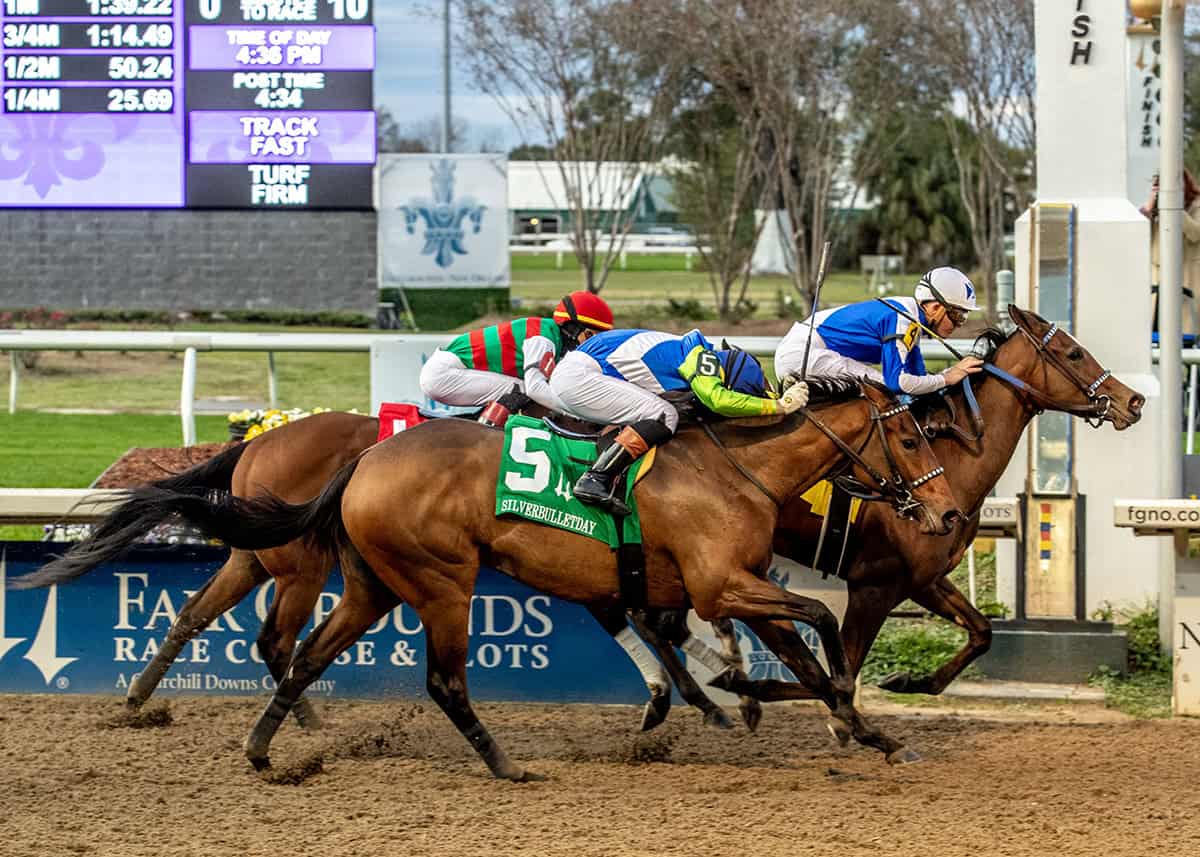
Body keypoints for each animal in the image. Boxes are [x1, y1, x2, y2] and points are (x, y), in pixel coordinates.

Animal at [21, 380, 961, 779]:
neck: (736, 470)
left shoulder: (713, 587)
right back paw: (505, 764)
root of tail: (364, 461)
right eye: (911, 436)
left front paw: (857, 727)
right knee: (436, 677)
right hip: (435, 579)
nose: (950, 514)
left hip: (364, 583)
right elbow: (816, 628)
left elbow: (786, 649)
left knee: (292, 648)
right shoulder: (718, 584)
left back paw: (262, 744)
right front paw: (793, 703)